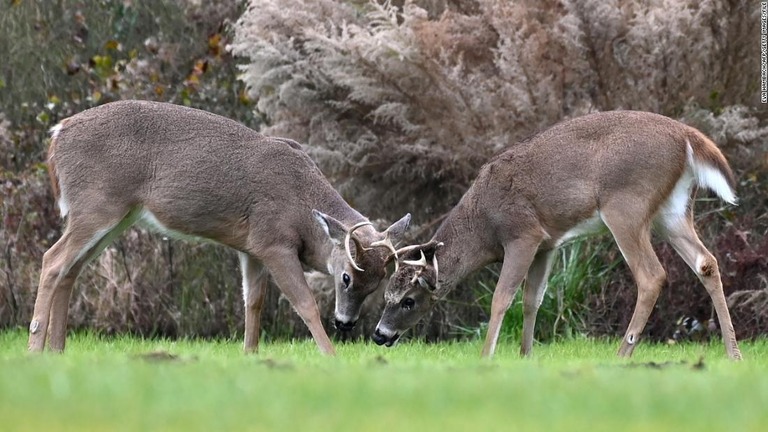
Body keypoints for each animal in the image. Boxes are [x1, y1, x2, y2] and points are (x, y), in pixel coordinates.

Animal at [28, 99, 414, 356]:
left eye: (378, 283)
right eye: (346, 277)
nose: (346, 323)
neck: (303, 206)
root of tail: (57, 134)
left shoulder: (252, 248)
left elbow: (253, 302)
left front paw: (250, 356)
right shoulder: (274, 240)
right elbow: (303, 302)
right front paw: (330, 357)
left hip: (115, 216)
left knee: (71, 269)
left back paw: (57, 350)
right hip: (97, 204)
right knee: (52, 260)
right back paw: (35, 348)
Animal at [372, 110, 744, 362]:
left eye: (408, 300)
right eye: (385, 296)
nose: (379, 334)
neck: (483, 224)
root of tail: (687, 136)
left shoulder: (523, 233)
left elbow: (501, 297)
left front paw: (486, 356)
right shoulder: (547, 243)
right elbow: (532, 299)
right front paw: (525, 356)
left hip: (626, 205)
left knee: (652, 276)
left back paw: (622, 354)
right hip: (673, 211)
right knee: (706, 262)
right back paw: (733, 353)